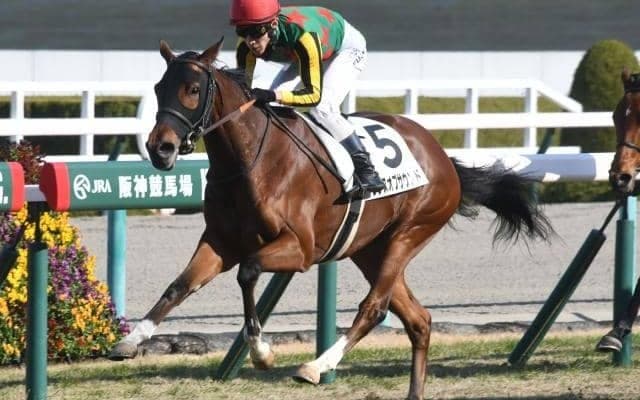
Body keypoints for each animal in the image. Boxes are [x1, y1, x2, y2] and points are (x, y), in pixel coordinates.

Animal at [109, 38, 552, 400]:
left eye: (193, 89)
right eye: (158, 88)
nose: (160, 148)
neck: (251, 160)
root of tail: (443, 157)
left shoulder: (300, 249)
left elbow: (248, 273)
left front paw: (262, 352)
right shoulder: (220, 241)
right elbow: (180, 285)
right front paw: (130, 340)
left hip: (410, 232)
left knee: (374, 308)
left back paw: (315, 366)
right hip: (369, 249)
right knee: (418, 319)